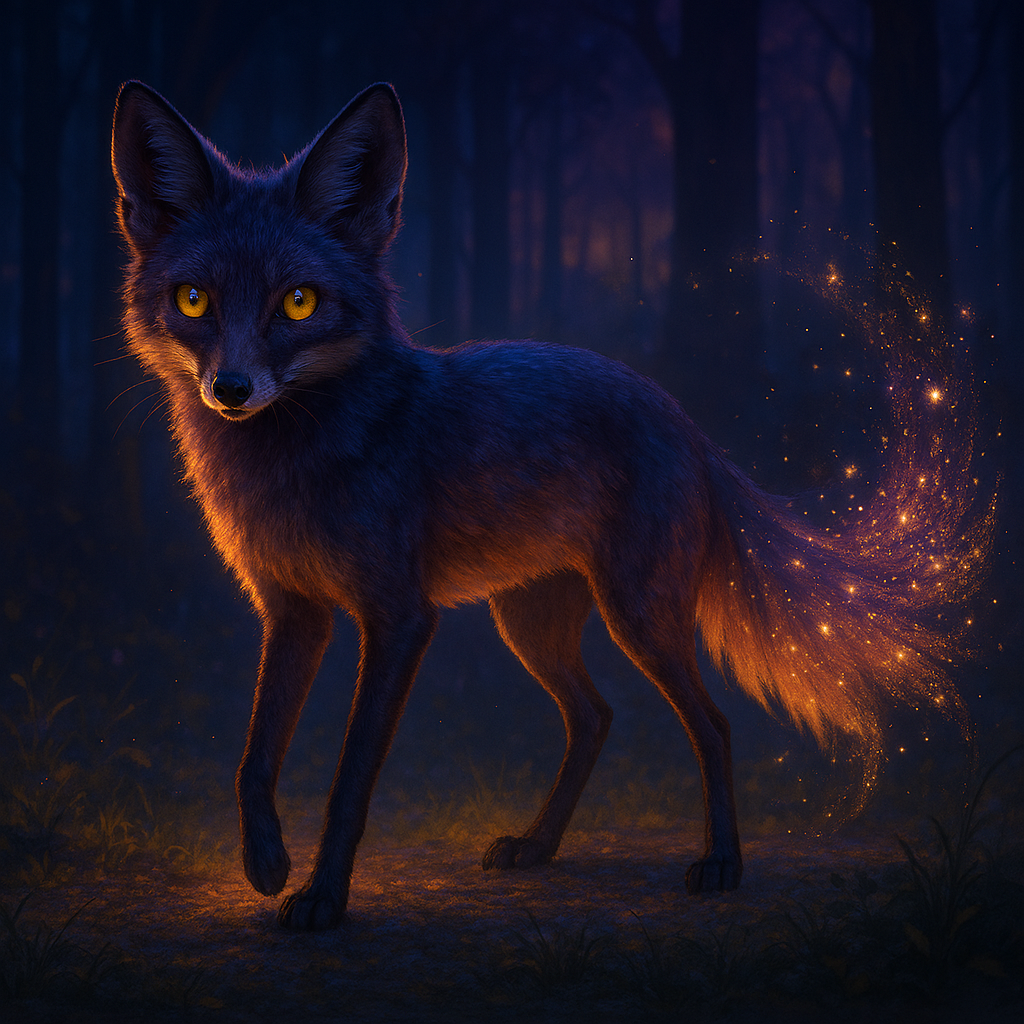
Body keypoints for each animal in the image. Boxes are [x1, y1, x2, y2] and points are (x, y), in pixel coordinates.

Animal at [110, 80, 989, 931]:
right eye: (194, 300)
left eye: (298, 302)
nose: (231, 389)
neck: (298, 465)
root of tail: (688, 423)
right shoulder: (295, 611)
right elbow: (254, 757)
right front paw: (265, 865)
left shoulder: (398, 618)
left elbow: (350, 779)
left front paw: (324, 899)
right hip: (530, 626)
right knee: (595, 716)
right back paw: (538, 844)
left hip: (638, 617)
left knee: (712, 724)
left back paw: (721, 864)